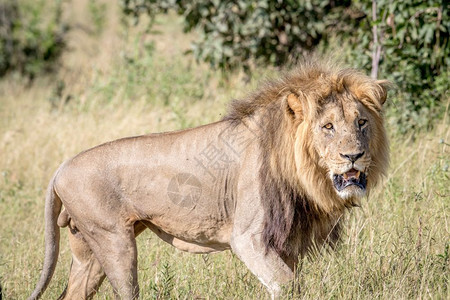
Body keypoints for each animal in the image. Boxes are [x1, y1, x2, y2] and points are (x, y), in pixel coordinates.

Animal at [28, 59, 388, 298]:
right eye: (327, 126)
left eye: (361, 122)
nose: (354, 156)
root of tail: (62, 167)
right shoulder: (249, 238)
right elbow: (289, 285)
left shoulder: (285, 241)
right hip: (113, 239)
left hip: (88, 249)